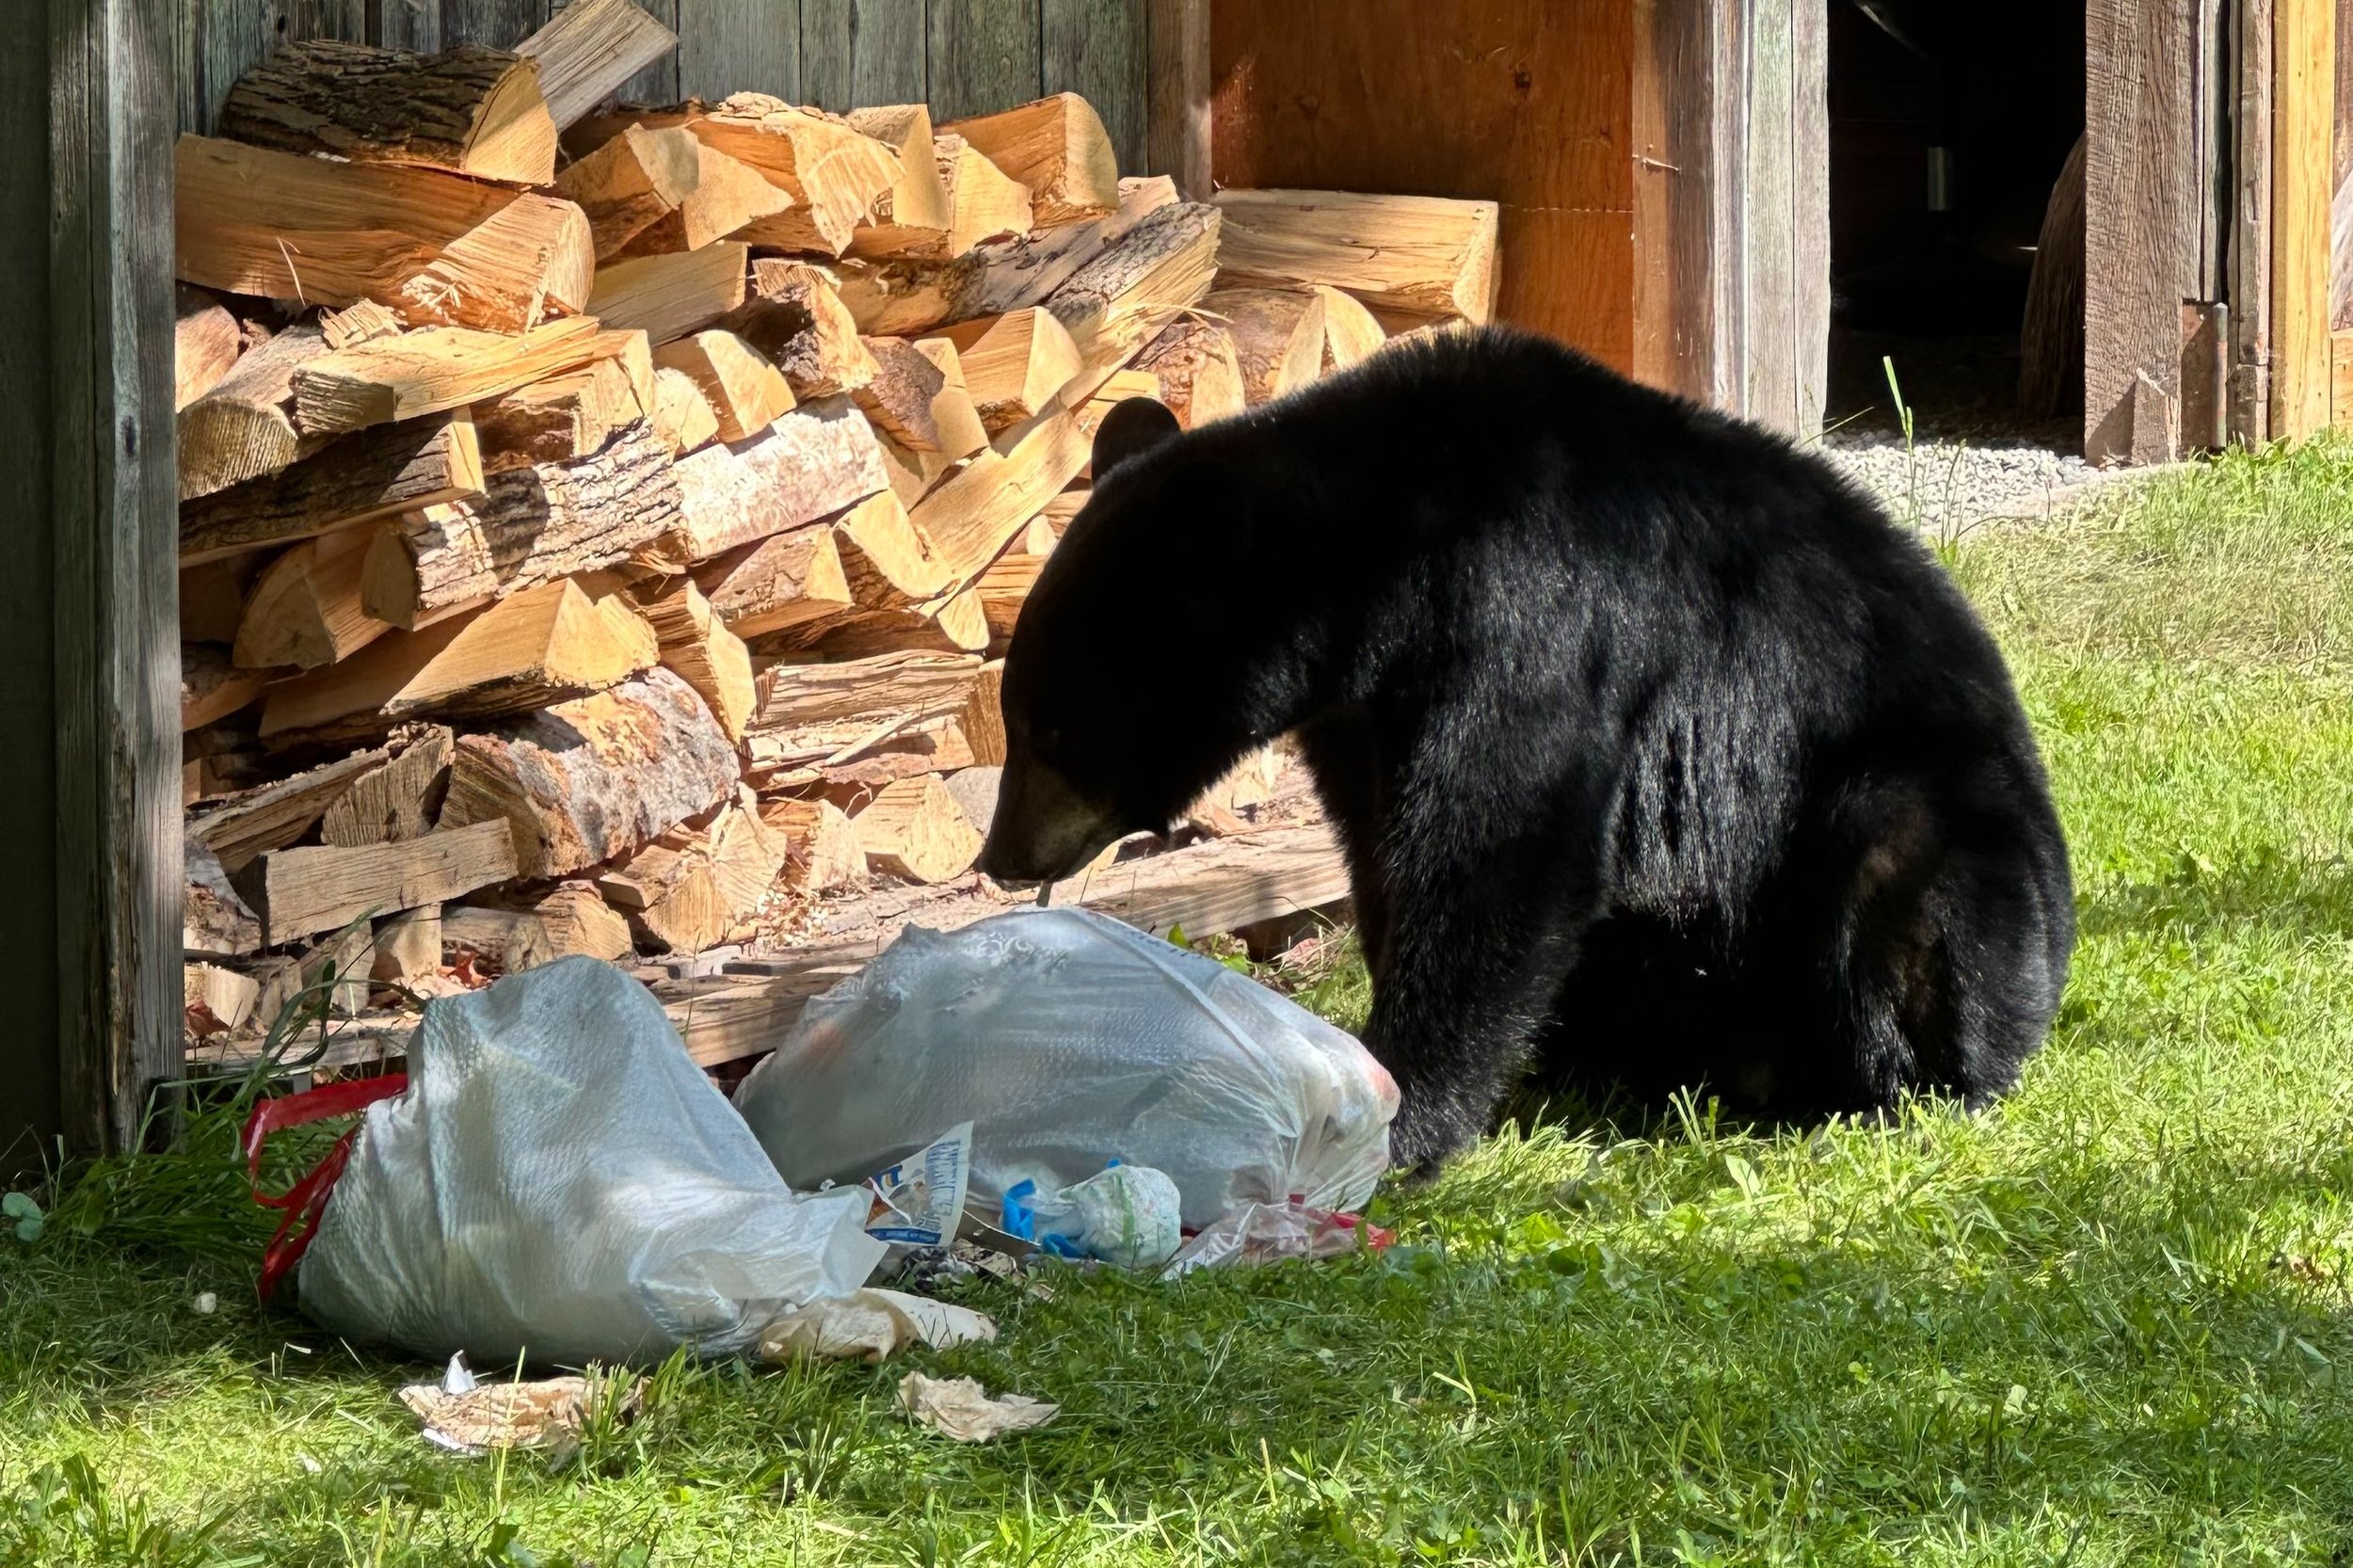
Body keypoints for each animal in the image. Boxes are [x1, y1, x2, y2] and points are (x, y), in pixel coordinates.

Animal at [974, 326, 2074, 1173]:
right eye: (1018, 714)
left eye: (1052, 726)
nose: (1001, 857)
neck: (1384, 563)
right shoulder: (1363, 716)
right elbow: (1383, 851)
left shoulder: (1526, 614)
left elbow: (1496, 851)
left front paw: (1401, 1118)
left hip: (1921, 812)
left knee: (1906, 878)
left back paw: (1891, 1086)